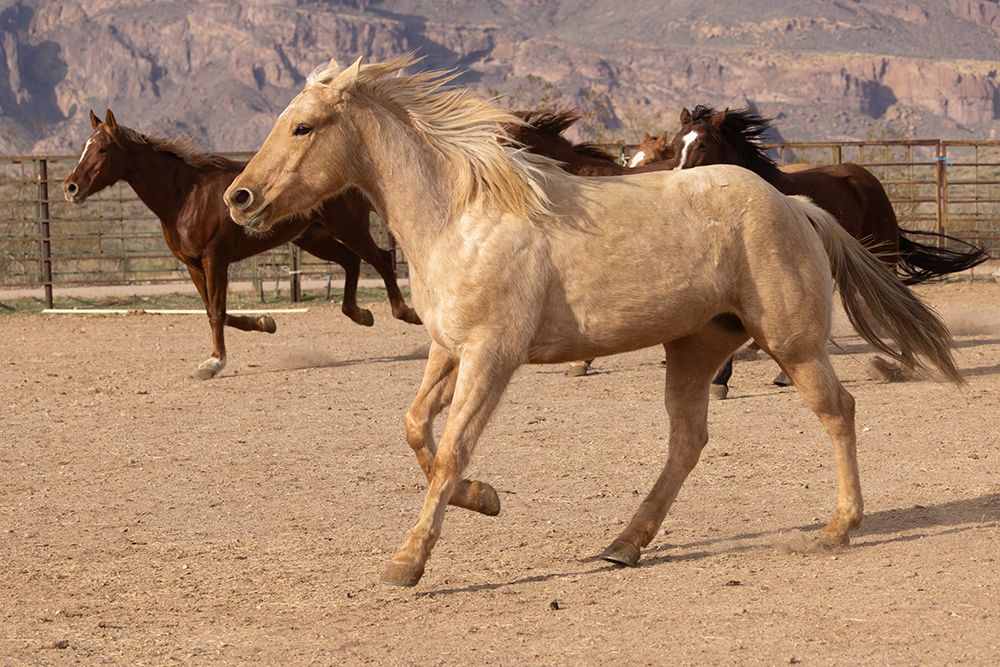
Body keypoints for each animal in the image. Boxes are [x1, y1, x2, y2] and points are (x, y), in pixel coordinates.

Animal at [63, 109, 420, 380]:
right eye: (84, 146)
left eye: (103, 149)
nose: (71, 187)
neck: (184, 196)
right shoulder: (193, 265)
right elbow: (214, 311)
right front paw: (264, 322)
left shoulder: (214, 259)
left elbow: (216, 311)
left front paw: (213, 363)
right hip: (313, 237)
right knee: (351, 262)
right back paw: (361, 314)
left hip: (349, 228)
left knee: (382, 259)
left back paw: (406, 313)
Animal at [633, 106, 989, 397]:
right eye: (677, 143)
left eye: (703, 144)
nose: (676, 184)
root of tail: (866, 178)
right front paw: (721, 380)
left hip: (881, 254)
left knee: (895, 304)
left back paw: (900, 365)